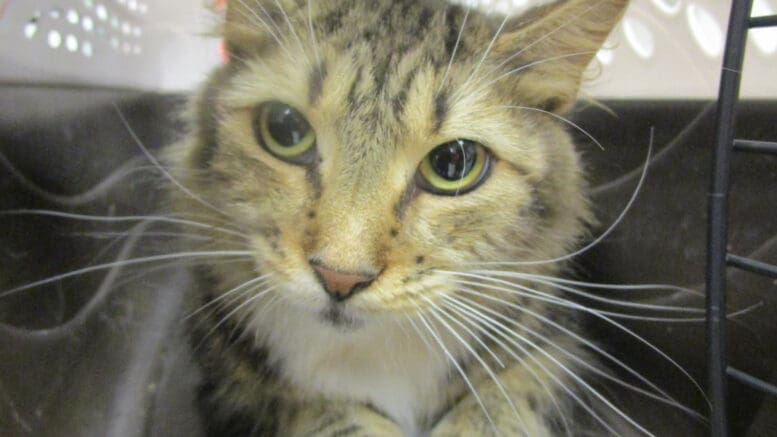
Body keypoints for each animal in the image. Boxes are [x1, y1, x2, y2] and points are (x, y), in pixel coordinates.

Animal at [168, 0, 636, 434]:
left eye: (453, 162)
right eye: (285, 129)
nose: (340, 278)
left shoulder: (551, 354)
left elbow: (500, 408)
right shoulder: (242, 381)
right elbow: (331, 414)